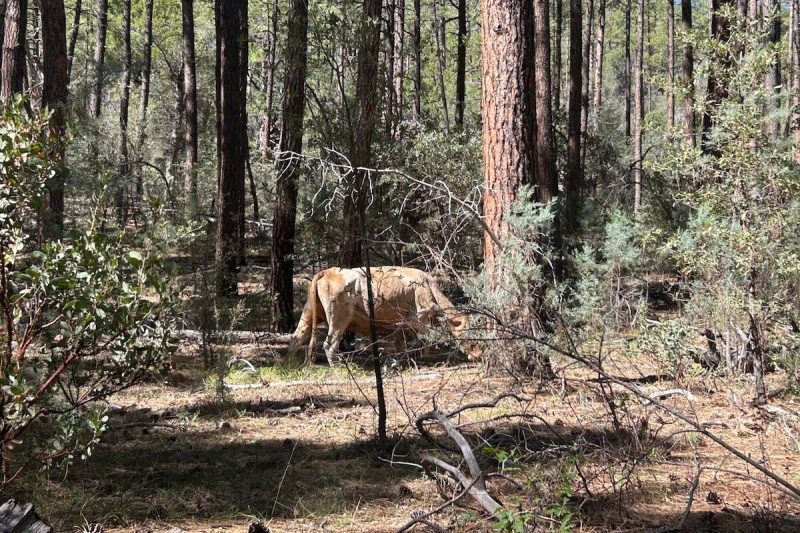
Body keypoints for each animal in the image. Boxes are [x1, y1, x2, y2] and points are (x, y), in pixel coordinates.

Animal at [286, 267, 474, 366]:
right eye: (467, 333)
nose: (477, 354)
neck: (428, 286)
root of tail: (327, 271)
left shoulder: (401, 324)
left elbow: (400, 344)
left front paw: (403, 360)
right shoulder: (418, 319)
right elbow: (432, 337)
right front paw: (425, 357)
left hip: (309, 314)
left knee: (296, 338)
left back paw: (290, 364)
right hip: (339, 319)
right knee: (329, 344)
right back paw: (338, 366)